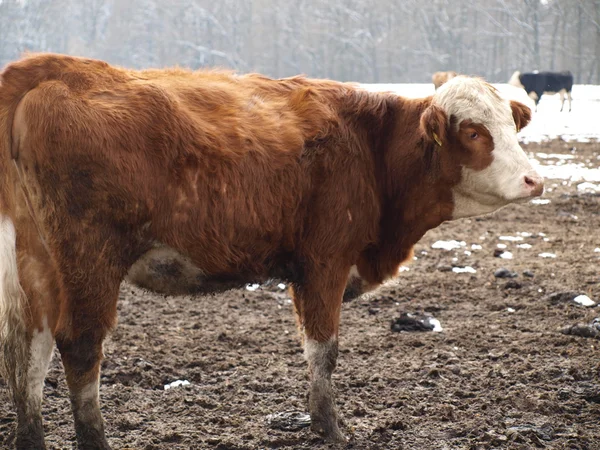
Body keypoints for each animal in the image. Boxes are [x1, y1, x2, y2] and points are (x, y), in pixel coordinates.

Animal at [0, 51, 540, 446]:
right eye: (473, 131)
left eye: (511, 127)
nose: (534, 180)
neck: (371, 144)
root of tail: (54, 68)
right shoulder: (324, 262)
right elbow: (323, 351)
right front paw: (330, 430)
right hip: (88, 257)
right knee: (78, 344)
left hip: (35, 261)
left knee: (29, 347)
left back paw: (31, 439)